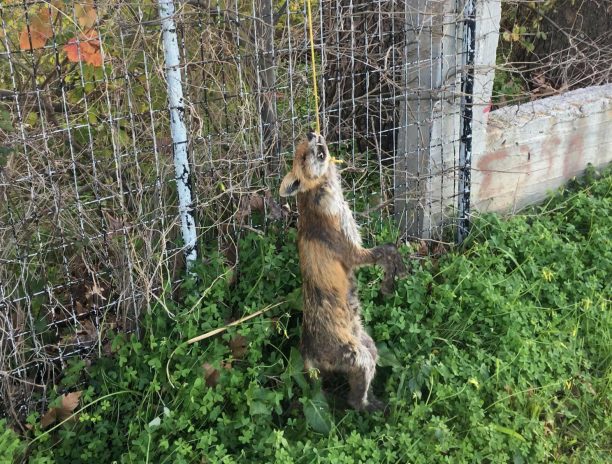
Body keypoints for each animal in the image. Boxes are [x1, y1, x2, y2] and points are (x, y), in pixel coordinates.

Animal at [280, 132, 406, 412]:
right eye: (302, 157)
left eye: (302, 147)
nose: (311, 134)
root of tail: (306, 351)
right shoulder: (350, 251)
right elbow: (388, 250)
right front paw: (391, 279)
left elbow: (389, 249)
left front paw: (391, 280)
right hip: (360, 358)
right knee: (354, 401)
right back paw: (374, 408)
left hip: (369, 347)